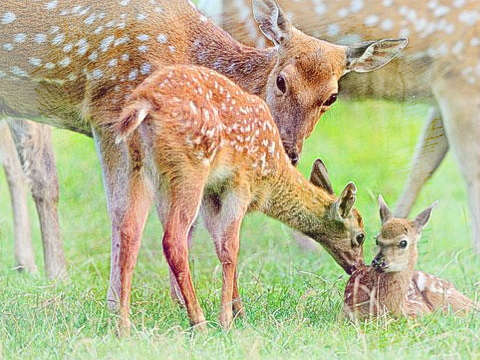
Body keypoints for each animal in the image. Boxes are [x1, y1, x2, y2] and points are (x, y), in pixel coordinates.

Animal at [0, 0, 402, 316]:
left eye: (331, 97)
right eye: (282, 81)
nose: (289, 149)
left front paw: (185, 303)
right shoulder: (108, 110)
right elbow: (121, 211)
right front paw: (116, 304)